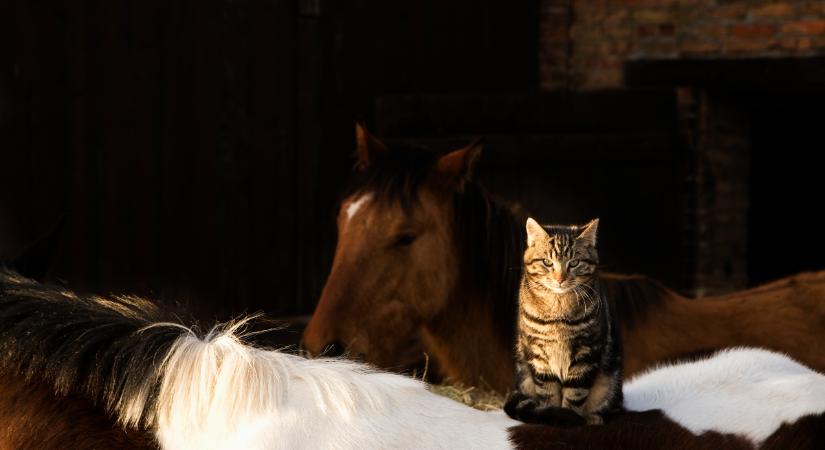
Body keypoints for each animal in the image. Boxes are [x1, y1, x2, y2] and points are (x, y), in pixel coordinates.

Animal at [502, 218, 616, 426]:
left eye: (574, 262)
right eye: (547, 262)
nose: (560, 279)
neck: (558, 308)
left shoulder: (586, 352)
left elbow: (575, 394)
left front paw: (571, 417)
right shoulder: (538, 355)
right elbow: (548, 394)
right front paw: (553, 416)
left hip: (608, 383)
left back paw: (593, 417)